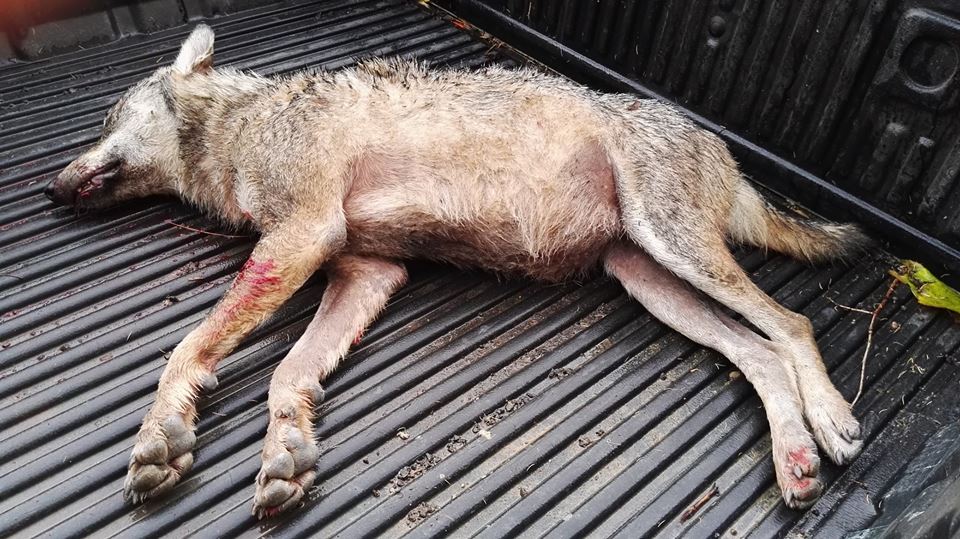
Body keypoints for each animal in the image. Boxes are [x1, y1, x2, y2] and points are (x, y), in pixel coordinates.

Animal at [45, 25, 867, 517]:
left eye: (105, 119)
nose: (49, 190)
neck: (240, 129)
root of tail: (721, 147)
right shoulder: (366, 270)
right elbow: (289, 376)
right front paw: (285, 452)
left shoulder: (301, 236)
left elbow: (186, 349)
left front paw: (160, 434)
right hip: (651, 279)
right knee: (760, 353)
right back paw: (794, 456)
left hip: (677, 250)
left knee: (791, 324)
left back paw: (830, 419)